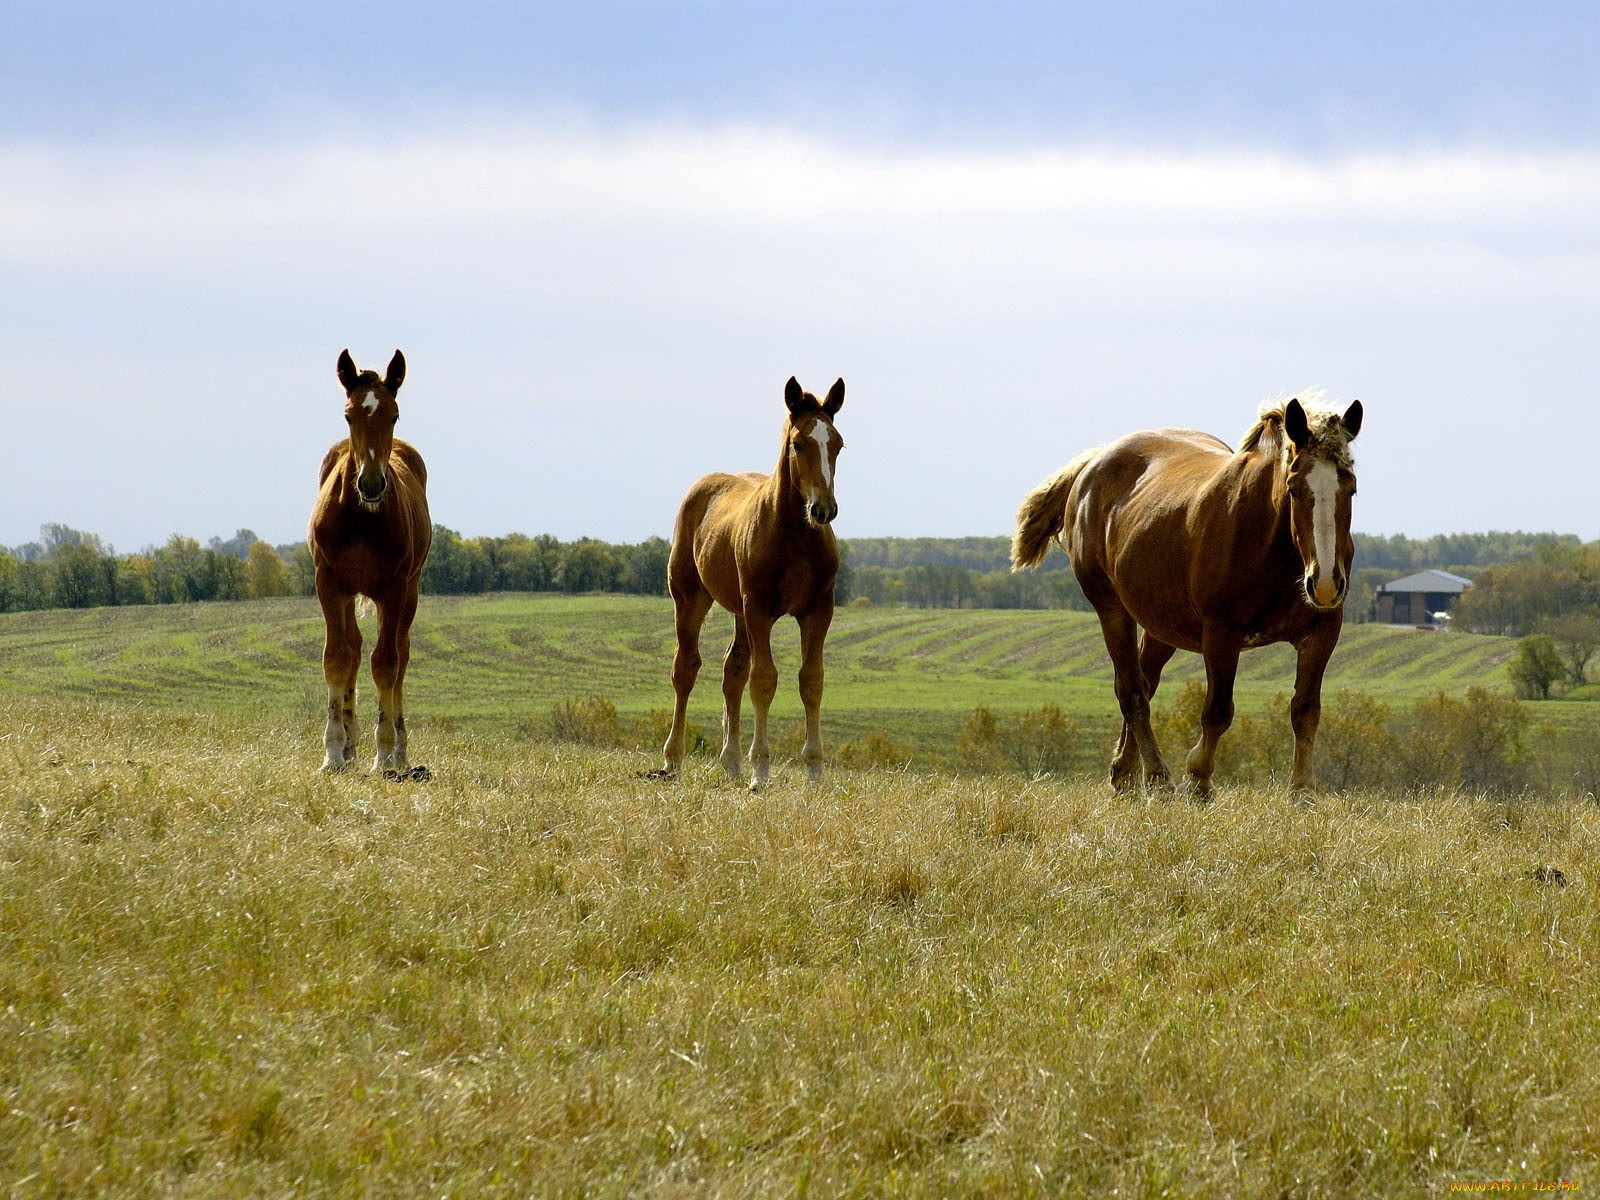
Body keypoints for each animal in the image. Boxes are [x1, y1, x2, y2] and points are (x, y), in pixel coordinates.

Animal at [304, 347, 432, 780]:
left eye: (394, 415)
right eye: (349, 415)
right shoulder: (328, 583)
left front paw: (385, 753)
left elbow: (387, 664)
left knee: (399, 654)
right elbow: (336, 657)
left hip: (409, 591)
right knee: (355, 648)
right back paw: (350, 742)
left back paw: (401, 754)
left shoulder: (393, 588)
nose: (372, 484)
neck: (361, 517)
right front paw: (333, 752)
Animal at [649, 376, 851, 790]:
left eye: (838, 444)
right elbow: (764, 680)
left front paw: (815, 771)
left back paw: (731, 762)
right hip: (690, 598)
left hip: (738, 610)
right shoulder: (759, 608)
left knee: (732, 671)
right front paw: (761, 770)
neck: (795, 537)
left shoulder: (818, 609)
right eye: (798, 443)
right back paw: (673, 759)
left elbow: (811, 680)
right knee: (685, 668)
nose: (823, 509)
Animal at [1011, 395, 1363, 800]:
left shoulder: (1322, 631)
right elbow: (1217, 710)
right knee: (1132, 691)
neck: (1270, 542)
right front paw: (1198, 779)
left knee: (1144, 683)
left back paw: (1125, 775)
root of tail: (1095, 464)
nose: (1325, 584)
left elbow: (1305, 711)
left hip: (1162, 626)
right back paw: (1157, 777)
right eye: (1293, 488)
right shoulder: (1221, 632)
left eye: (1350, 488)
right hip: (1112, 610)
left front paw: (1302, 792)